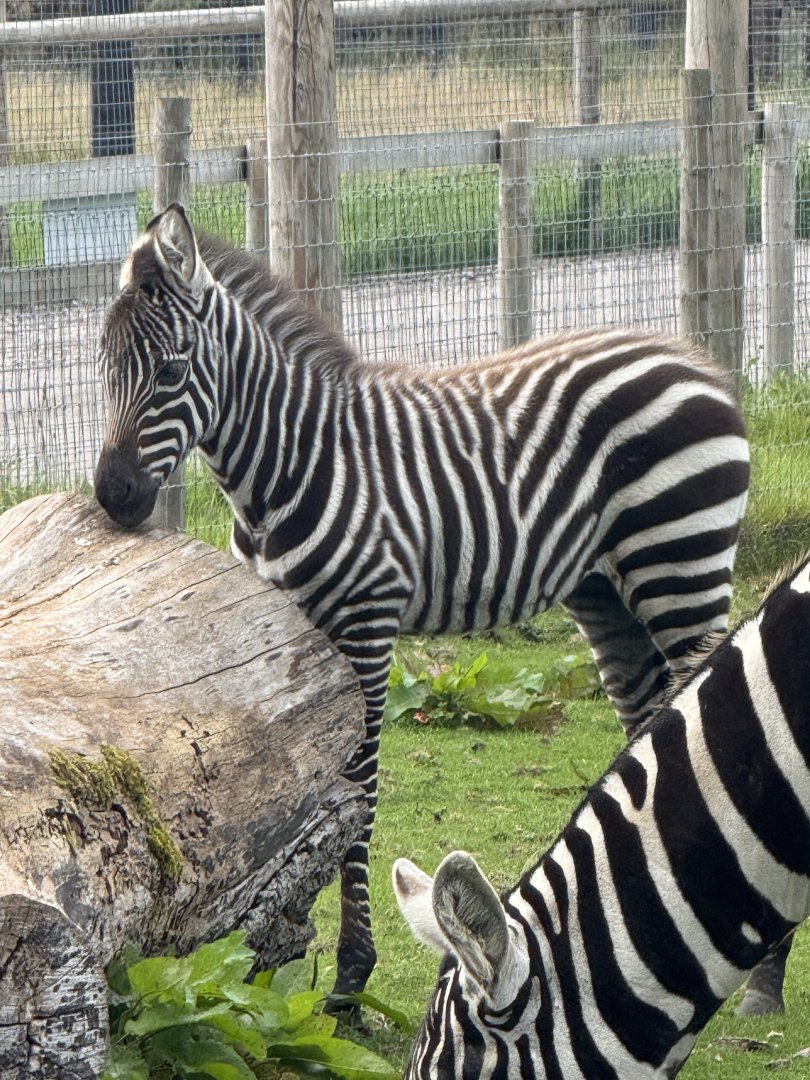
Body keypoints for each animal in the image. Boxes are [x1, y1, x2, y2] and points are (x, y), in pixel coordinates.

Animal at [94, 203, 750, 1003]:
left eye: (169, 371)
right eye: (102, 367)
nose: (113, 496)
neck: (290, 465)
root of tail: (692, 360)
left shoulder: (367, 622)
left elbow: (359, 790)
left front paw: (350, 975)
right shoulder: (287, 627)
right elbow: (306, 782)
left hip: (682, 563)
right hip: (605, 590)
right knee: (646, 718)